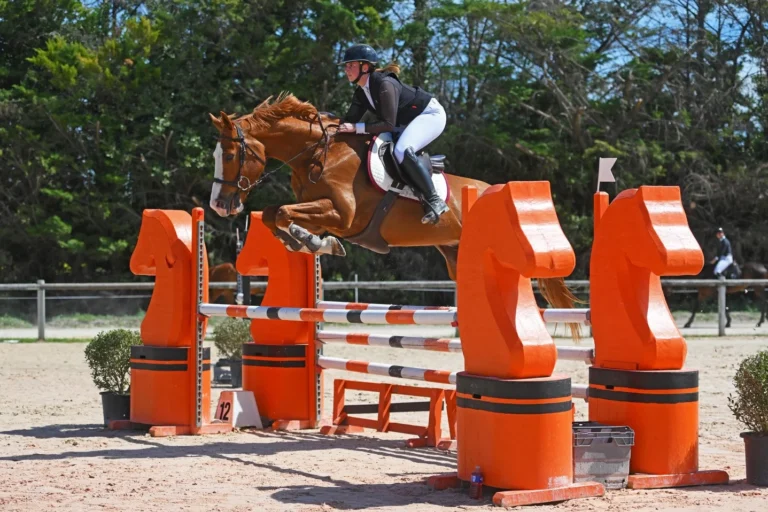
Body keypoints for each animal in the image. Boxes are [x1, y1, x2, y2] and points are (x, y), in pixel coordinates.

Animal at [206, 92, 580, 328]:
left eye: (230, 155)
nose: (219, 205)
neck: (317, 155)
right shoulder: (322, 213)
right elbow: (274, 213)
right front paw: (305, 243)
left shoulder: (342, 216)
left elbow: (283, 213)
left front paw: (317, 243)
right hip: (454, 252)